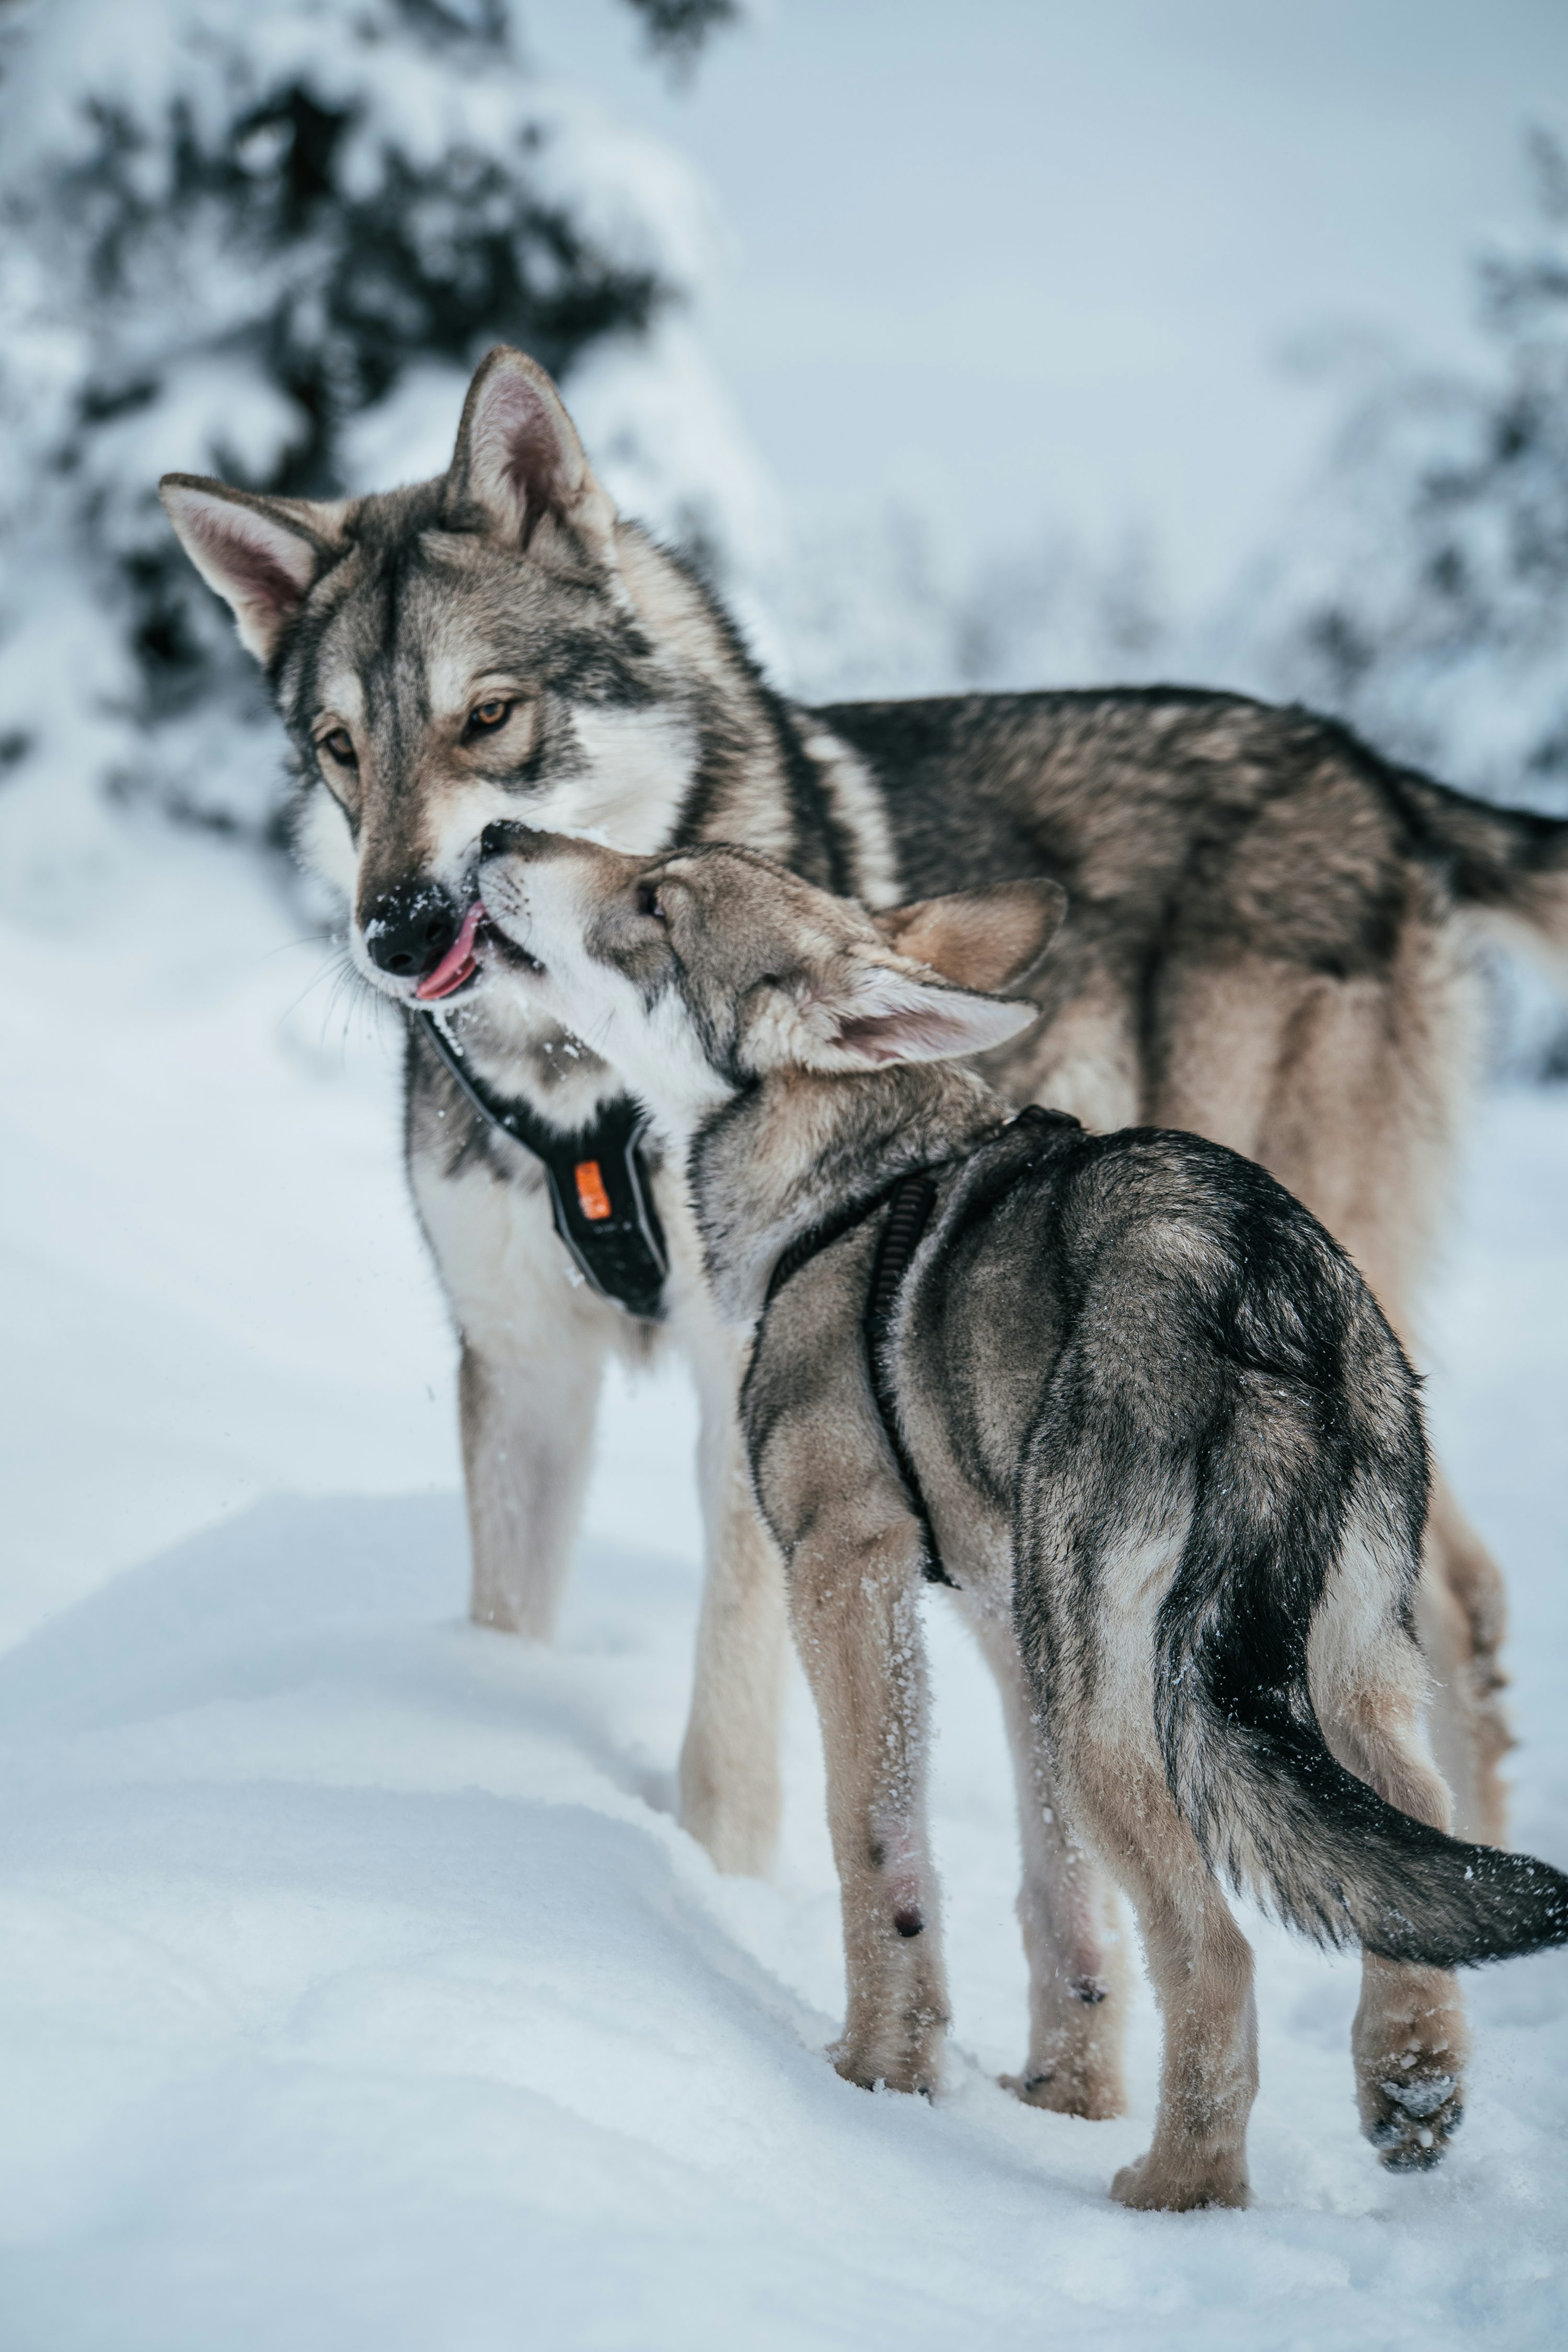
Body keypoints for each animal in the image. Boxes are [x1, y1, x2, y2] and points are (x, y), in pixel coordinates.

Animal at [158, 342, 1568, 1887]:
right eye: (341, 747)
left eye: (489, 714)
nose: (399, 932)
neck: (583, 1085)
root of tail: (1365, 767)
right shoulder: (523, 1367)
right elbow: (506, 1625)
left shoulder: (749, 1387)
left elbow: (727, 1734)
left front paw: (713, 1892)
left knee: (1458, 1602)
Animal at [470, 823, 1568, 2209]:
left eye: (656, 897)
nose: (497, 834)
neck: (845, 1183)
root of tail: (1255, 1279)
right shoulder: (1005, 1624)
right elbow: (1061, 1902)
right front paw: (1061, 2093)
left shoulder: (843, 1570)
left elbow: (876, 1848)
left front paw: (876, 2075)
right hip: (1324, 1665)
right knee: (1410, 1862)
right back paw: (1409, 2089)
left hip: (1126, 1704)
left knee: (1216, 1943)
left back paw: (1178, 2191)